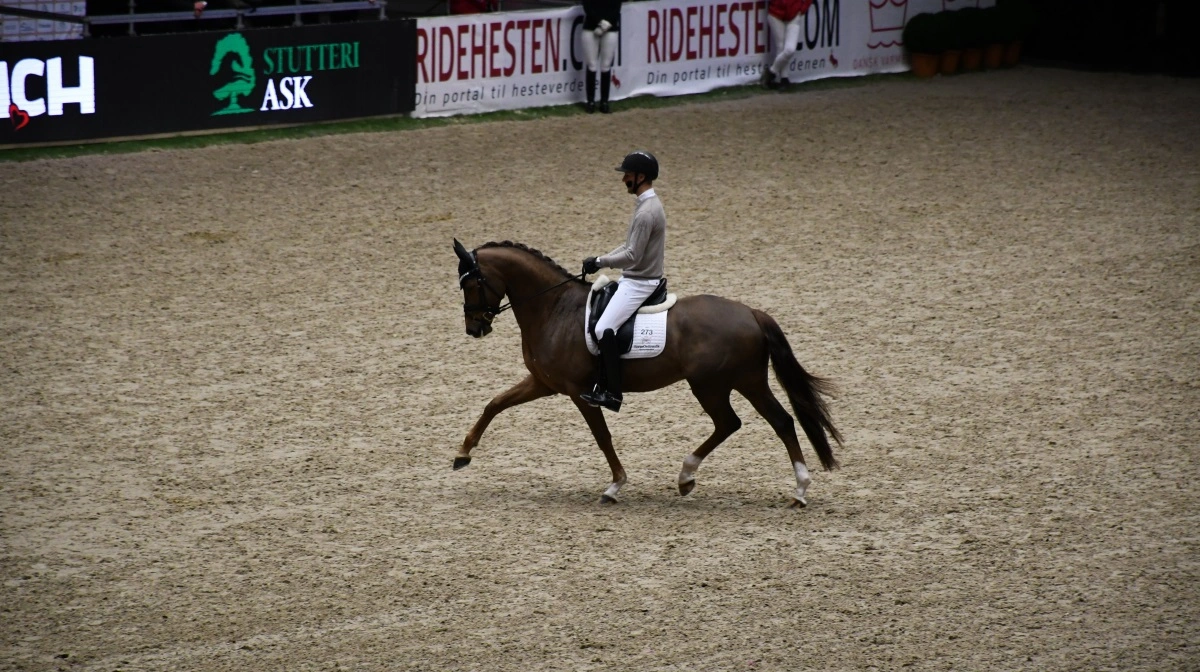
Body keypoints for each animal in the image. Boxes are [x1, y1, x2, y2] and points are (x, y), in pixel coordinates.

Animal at [451, 238, 844, 506]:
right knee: (777, 422)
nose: (474, 328)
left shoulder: (580, 392)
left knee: (736, 423)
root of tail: (751, 312)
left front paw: (615, 485)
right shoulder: (543, 383)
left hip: (712, 385)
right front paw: (463, 453)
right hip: (745, 382)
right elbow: (494, 404)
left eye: (471, 283)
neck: (555, 308)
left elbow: (602, 437)